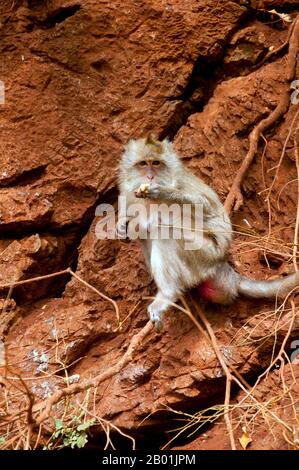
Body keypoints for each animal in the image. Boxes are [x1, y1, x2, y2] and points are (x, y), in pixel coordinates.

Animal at [118, 134, 299, 328]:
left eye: (157, 163)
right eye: (143, 163)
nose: (150, 176)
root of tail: (222, 265)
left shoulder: (181, 184)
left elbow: (203, 206)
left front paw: (164, 192)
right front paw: (122, 223)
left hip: (204, 254)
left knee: (163, 231)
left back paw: (167, 293)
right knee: (144, 229)